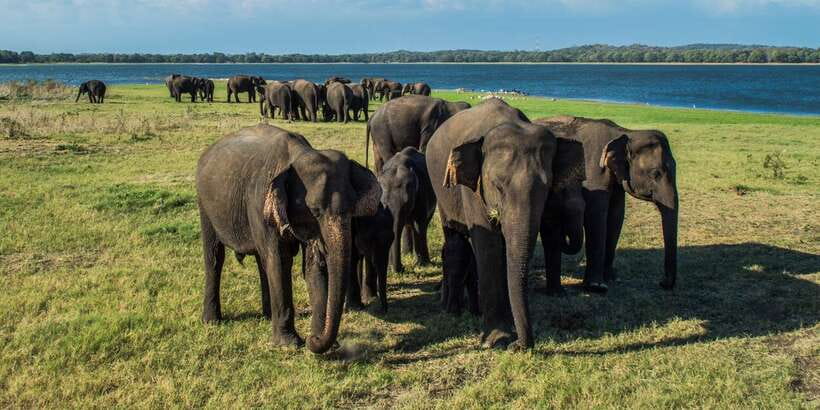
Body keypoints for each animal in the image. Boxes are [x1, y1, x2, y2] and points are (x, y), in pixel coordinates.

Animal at [196, 124, 382, 353]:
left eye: (352, 208)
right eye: (315, 210)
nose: (313, 339)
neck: (298, 154)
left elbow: (313, 265)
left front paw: (325, 342)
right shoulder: (259, 205)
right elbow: (279, 260)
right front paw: (290, 344)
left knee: (261, 260)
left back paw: (267, 315)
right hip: (204, 205)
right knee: (215, 256)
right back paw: (212, 320)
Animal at [427, 98, 558, 350]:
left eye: (547, 188)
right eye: (498, 186)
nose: (519, 346)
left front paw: (505, 331)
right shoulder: (472, 188)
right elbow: (488, 245)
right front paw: (497, 340)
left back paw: (473, 310)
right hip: (440, 190)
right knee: (455, 241)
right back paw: (451, 309)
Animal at [534, 116, 679, 291]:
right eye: (655, 173)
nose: (662, 283)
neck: (624, 133)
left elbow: (616, 216)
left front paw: (610, 278)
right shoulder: (593, 174)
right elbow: (596, 216)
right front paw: (596, 286)